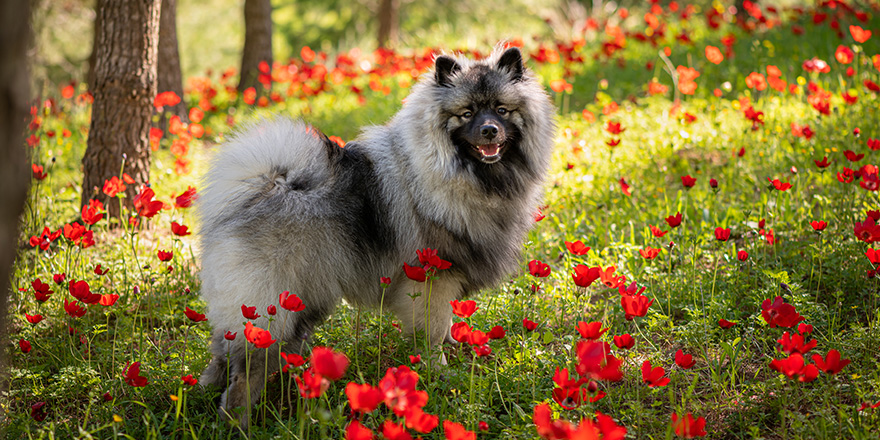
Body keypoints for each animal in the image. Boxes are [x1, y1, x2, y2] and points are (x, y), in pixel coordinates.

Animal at [200, 46, 556, 424]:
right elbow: (432, 331)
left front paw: (454, 349)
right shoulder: (432, 279)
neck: (472, 179)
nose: (489, 130)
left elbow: (446, 326)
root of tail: (266, 187)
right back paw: (236, 420)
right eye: (467, 113)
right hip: (272, 309)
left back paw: (208, 392)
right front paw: (440, 371)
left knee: (223, 352)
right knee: (244, 371)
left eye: (502, 110)